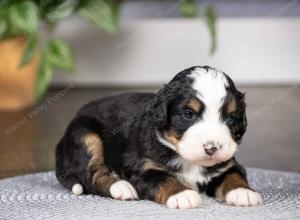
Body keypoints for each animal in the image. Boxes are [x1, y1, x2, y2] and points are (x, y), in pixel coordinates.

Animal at [56, 66, 262, 209]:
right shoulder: (144, 169)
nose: (212, 147)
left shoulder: (227, 163)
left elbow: (234, 175)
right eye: (188, 114)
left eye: (230, 117)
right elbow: (165, 179)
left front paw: (243, 192)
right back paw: (121, 187)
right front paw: (182, 194)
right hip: (86, 135)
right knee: (93, 176)